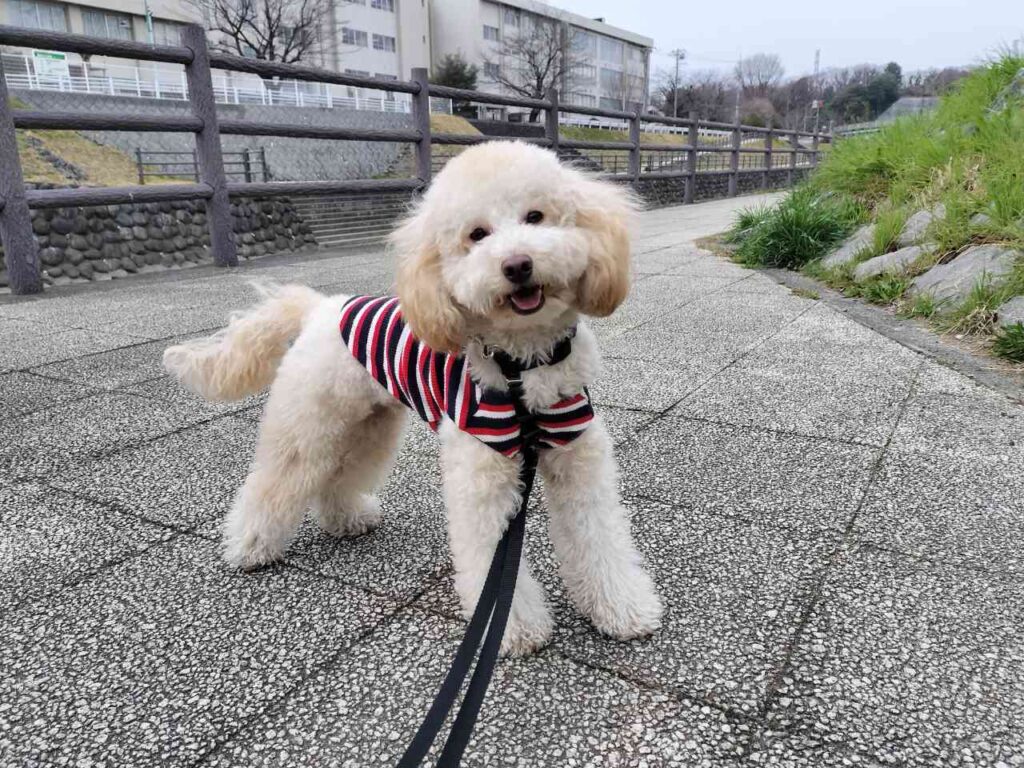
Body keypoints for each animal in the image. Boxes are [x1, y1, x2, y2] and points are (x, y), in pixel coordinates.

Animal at [164, 141, 663, 655]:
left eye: (536, 216)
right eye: (476, 235)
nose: (517, 264)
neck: (523, 365)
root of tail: (320, 307)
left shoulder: (579, 460)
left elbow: (599, 537)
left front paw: (622, 608)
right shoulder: (481, 473)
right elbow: (488, 556)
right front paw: (514, 631)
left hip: (370, 426)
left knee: (339, 476)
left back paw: (346, 519)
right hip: (308, 422)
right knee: (276, 482)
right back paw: (249, 547)